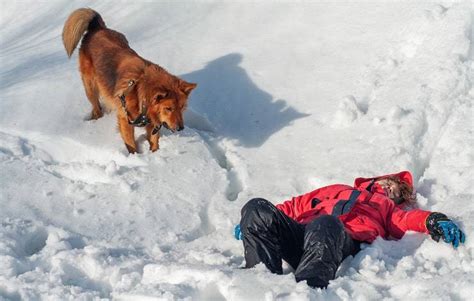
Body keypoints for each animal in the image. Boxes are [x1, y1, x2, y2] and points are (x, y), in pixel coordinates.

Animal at [63, 7, 196, 152]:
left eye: (181, 107)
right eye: (168, 108)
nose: (180, 128)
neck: (140, 93)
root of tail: (98, 27)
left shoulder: (152, 124)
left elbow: (154, 142)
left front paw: (155, 154)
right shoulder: (125, 119)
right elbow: (131, 144)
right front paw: (136, 156)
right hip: (90, 87)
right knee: (96, 106)